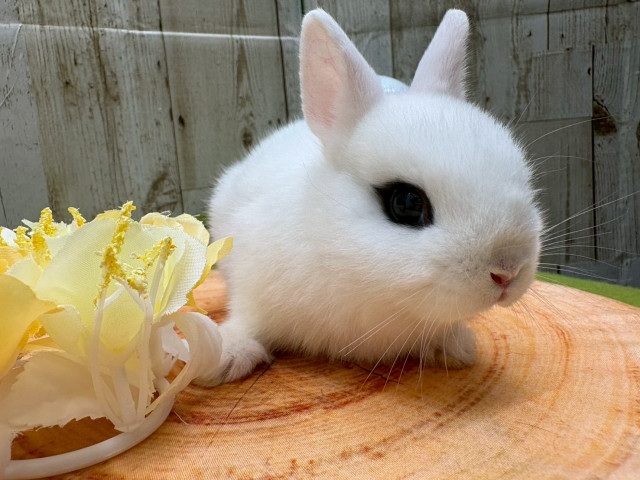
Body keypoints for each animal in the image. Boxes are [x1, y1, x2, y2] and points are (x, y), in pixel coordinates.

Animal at [202, 8, 542, 386]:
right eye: (407, 203)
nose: (508, 271)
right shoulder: (252, 285)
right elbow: (248, 320)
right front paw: (226, 356)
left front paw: (455, 347)